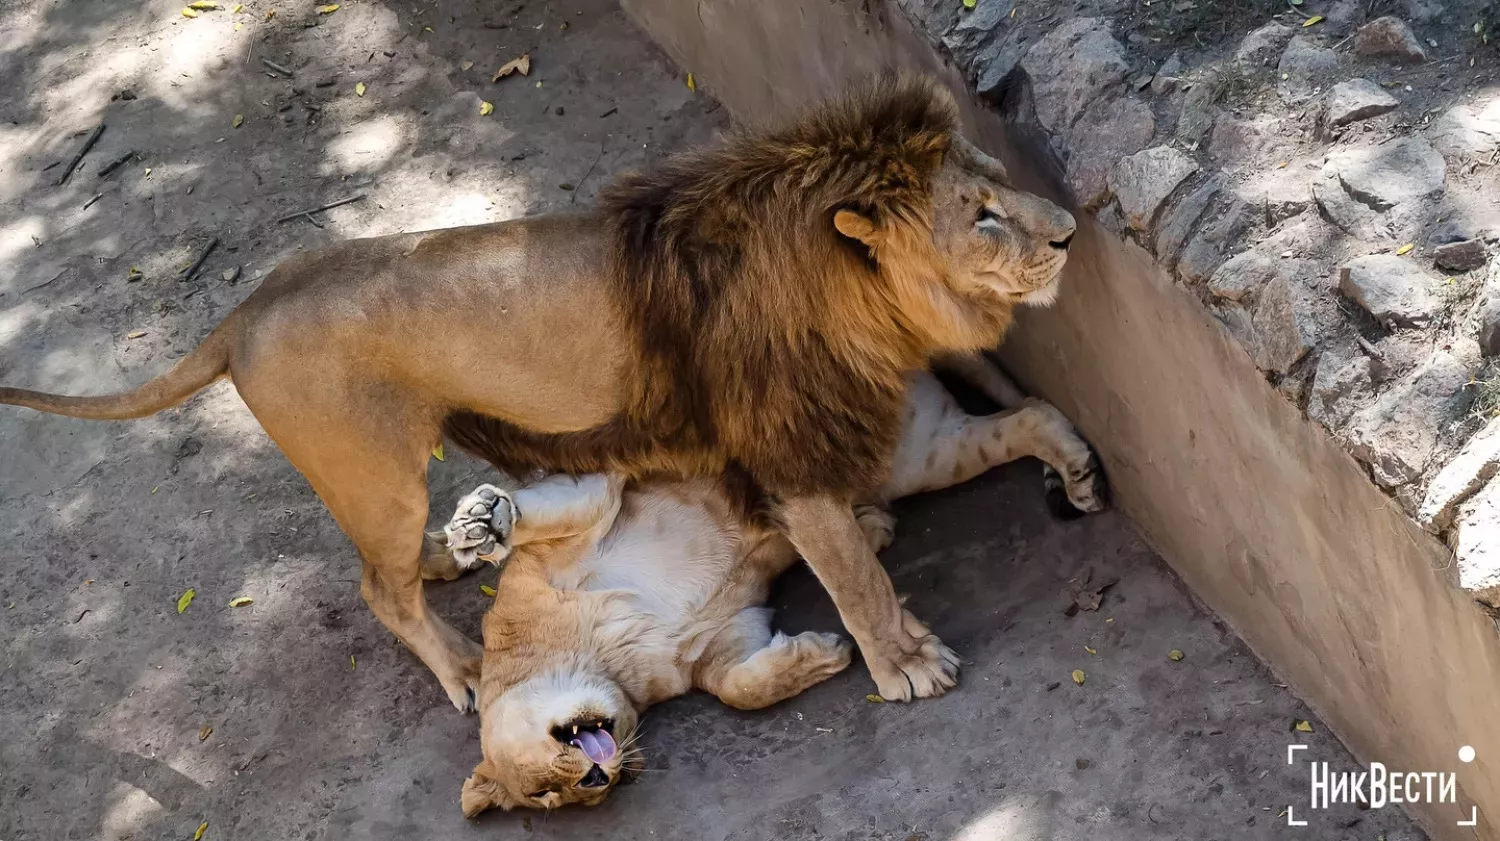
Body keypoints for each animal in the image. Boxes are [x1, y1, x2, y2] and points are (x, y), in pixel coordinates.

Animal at [0, 77, 1098, 707]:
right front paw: (906, 663)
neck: (858, 296)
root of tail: (248, 306)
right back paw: (462, 668)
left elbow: (1020, 421)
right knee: (376, 588)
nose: (1070, 232)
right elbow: (856, 579)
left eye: (999, 177)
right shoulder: (791, 459)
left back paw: (450, 553)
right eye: (983, 212)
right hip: (376, 473)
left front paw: (1073, 472)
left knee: (393, 566)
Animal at [438, 361, 1098, 815]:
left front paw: (483, 521)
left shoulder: (596, 499)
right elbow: (740, 689)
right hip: (927, 453)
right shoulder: (723, 636)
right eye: (552, 799)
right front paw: (822, 654)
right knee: (1028, 416)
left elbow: (547, 509)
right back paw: (1077, 472)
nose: (597, 778)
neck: (606, 663)